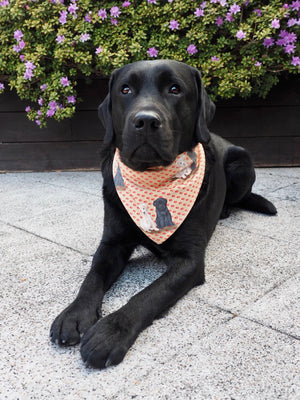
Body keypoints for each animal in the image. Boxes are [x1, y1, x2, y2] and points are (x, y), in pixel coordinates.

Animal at [49, 59, 276, 368]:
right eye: (125, 89)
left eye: (175, 89)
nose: (145, 121)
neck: (151, 179)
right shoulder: (112, 242)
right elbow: (92, 276)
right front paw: (73, 314)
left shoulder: (189, 260)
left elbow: (149, 294)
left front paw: (110, 332)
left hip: (242, 159)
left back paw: (227, 209)